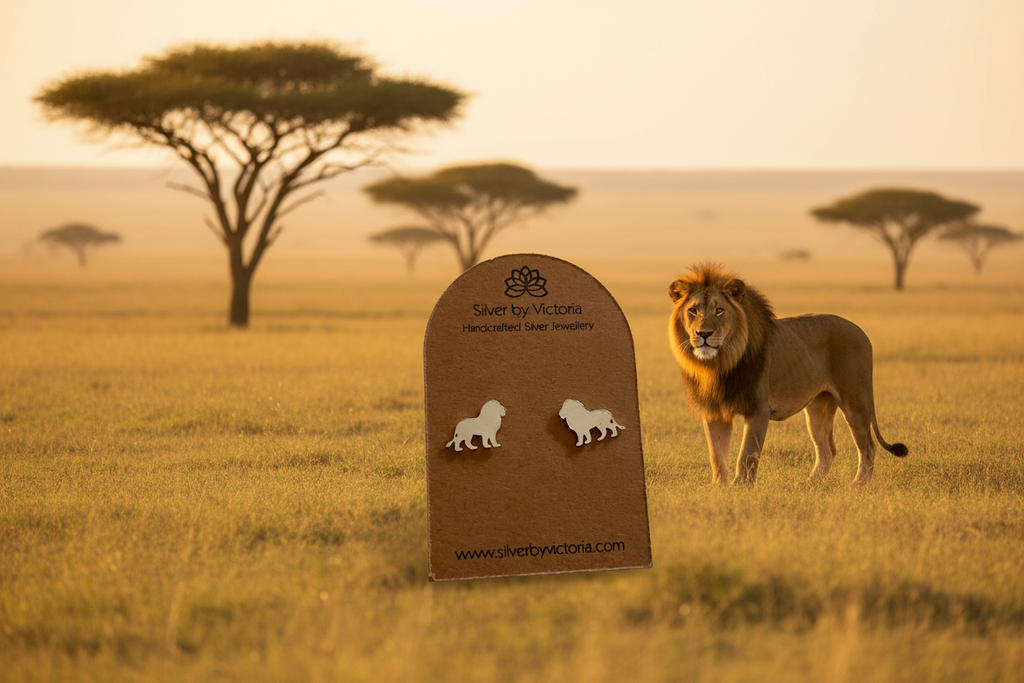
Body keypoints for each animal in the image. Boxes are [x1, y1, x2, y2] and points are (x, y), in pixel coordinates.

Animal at [668, 263, 907, 485]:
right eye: (693, 310)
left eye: (719, 310)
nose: (704, 334)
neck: (719, 364)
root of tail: (861, 331)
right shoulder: (715, 412)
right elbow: (716, 456)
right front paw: (720, 488)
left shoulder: (759, 409)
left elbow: (747, 455)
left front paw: (741, 489)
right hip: (818, 406)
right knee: (827, 450)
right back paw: (809, 485)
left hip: (856, 400)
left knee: (867, 445)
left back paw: (857, 485)